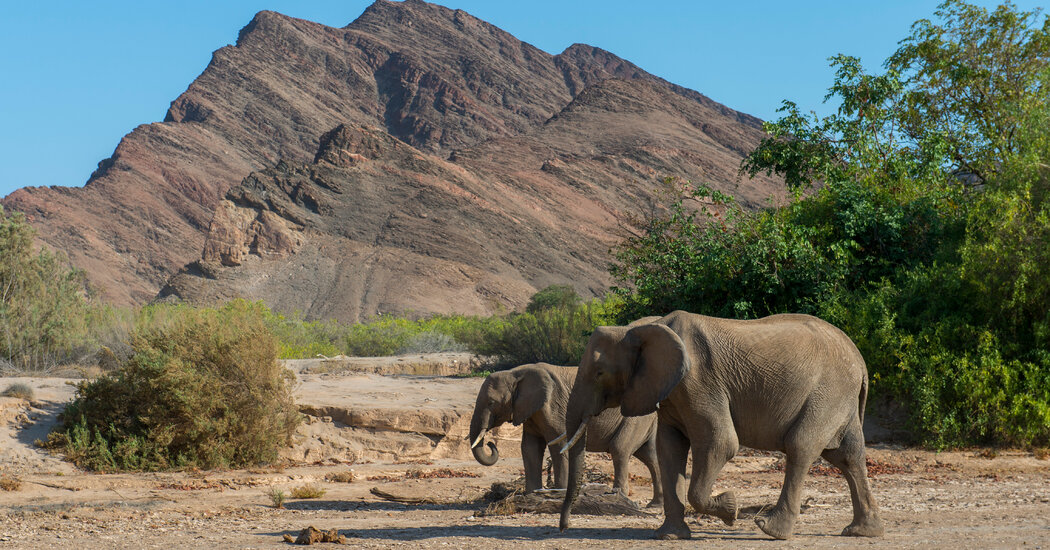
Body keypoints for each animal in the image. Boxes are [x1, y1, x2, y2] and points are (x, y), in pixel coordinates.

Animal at [470, 361, 663, 501]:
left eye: (491, 403)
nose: (491, 444)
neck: (515, 373)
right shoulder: (530, 412)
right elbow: (530, 448)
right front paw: (531, 496)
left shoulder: (554, 407)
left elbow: (558, 445)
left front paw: (558, 493)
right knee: (650, 455)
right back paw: (655, 504)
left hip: (635, 417)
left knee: (620, 449)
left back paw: (620, 496)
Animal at [562, 310, 881, 537]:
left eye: (599, 372)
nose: (563, 527)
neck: (645, 327)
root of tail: (861, 361)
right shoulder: (672, 392)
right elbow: (669, 450)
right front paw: (670, 536)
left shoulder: (699, 383)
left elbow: (721, 443)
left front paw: (731, 509)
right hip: (838, 399)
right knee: (847, 456)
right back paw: (862, 532)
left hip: (828, 392)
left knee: (800, 446)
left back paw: (771, 529)